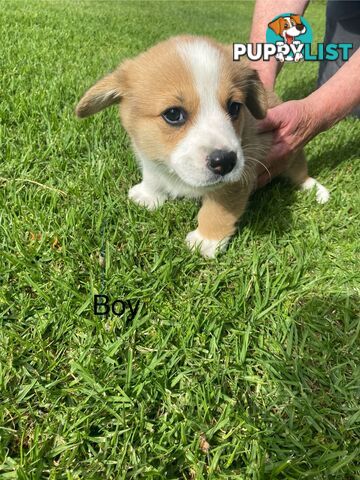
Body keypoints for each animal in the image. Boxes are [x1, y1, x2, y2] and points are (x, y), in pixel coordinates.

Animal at [76, 35, 330, 258]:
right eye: (173, 114)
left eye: (234, 107)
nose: (225, 162)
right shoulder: (151, 159)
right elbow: (152, 176)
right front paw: (148, 195)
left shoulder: (237, 178)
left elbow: (218, 211)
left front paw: (206, 240)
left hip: (293, 155)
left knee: (300, 173)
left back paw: (317, 191)